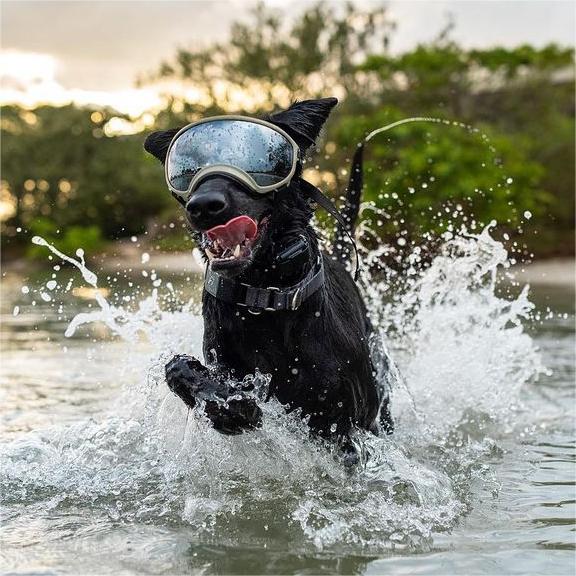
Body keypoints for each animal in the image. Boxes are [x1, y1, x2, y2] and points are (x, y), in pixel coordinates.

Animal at [145, 98, 392, 450]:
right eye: (187, 169)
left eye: (259, 161)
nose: (203, 205)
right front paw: (230, 405)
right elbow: (177, 366)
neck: (264, 295)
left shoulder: (348, 428)